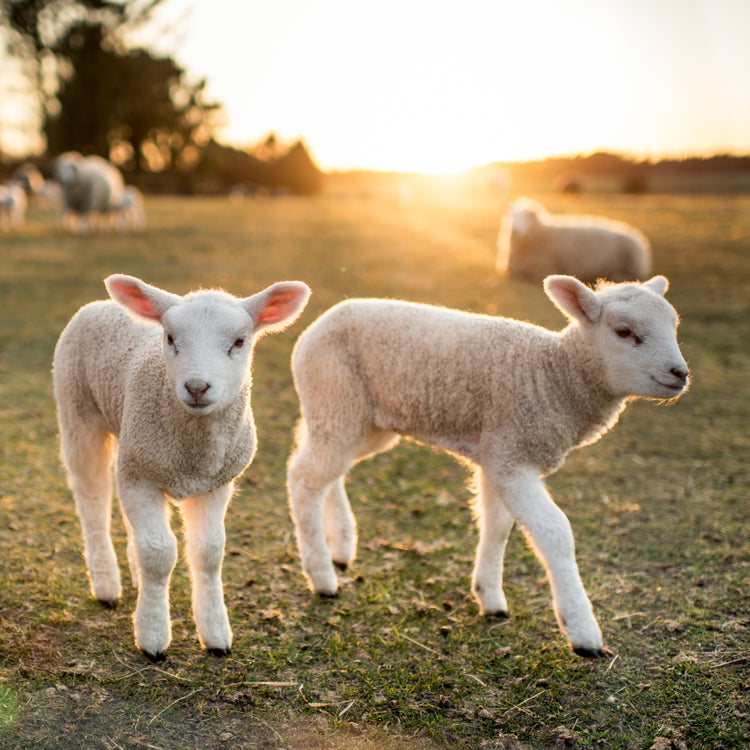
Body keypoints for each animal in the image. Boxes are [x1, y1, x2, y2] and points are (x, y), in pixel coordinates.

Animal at [53, 274, 312, 656]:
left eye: (239, 341)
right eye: (171, 338)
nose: (197, 387)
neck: (194, 455)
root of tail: (102, 304)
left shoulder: (214, 483)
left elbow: (208, 552)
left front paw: (216, 634)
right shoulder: (142, 476)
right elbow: (158, 553)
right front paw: (152, 636)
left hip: (130, 445)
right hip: (78, 412)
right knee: (92, 500)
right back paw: (106, 585)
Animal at [286, 274, 688, 656]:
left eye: (674, 325)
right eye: (624, 331)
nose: (680, 373)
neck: (554, 375)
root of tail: (321, 320)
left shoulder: (499, 455)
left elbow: (497, 526)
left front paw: (490, 598)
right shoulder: (511, 457)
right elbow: (555, 533)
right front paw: (582, 631)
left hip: (362, 421)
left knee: (328, 471)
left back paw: (341, 547)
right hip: (335, 397)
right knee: (304, 477)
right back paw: (322, 576)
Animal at [500, 198, 652, 284]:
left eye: (526, 217)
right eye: (512, 216)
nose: (514, 230)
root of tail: (638, 238)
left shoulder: (543, 269)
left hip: (629, 266)